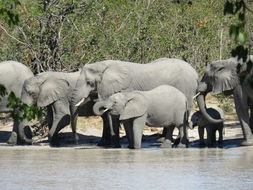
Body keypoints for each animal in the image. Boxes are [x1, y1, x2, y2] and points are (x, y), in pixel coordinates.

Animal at [70, 57, 199, 147]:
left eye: (89, 82)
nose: (76, 142)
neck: (104, 66)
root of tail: (195, 72)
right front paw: (110, 146)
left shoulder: (124, 89)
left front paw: (113, 146)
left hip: (187, 88)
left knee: (185, 114)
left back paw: (177, 143)